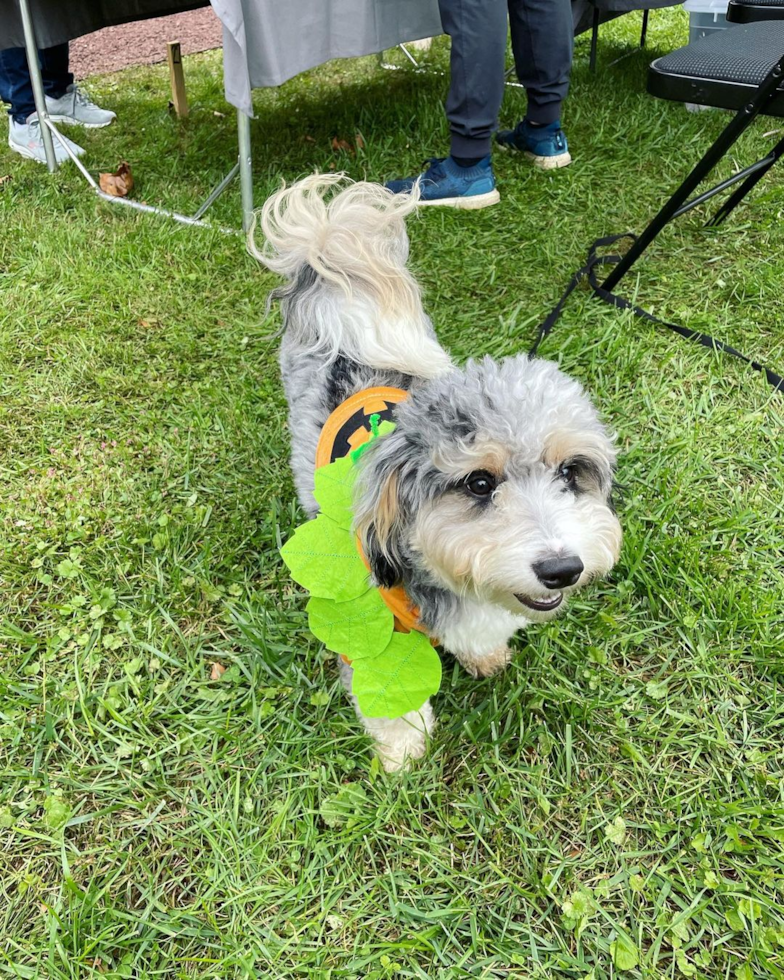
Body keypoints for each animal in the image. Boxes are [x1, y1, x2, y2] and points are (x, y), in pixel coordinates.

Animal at [251, 176, 620, 772]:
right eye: (479, 483)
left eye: (571, 471)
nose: (563, 569)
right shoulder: (367, 619)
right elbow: (385, 684)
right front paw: (403, 748)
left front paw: (484, 653)